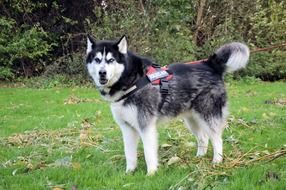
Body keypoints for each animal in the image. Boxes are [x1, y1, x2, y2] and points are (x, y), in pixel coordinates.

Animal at [85, 34, 248, 175]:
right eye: (97, 60)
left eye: (111, 60)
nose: (102, 73)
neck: (131, 80)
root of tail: (209, 64)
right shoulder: (127, 128)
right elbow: (129, 154)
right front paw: (129, 173)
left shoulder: (146, 126)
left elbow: (148, 153)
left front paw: (151, 174)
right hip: (192, 120)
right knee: (203, 137)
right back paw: (199, 158)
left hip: (208, 115)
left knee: (217, 138)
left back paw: (217, 162)